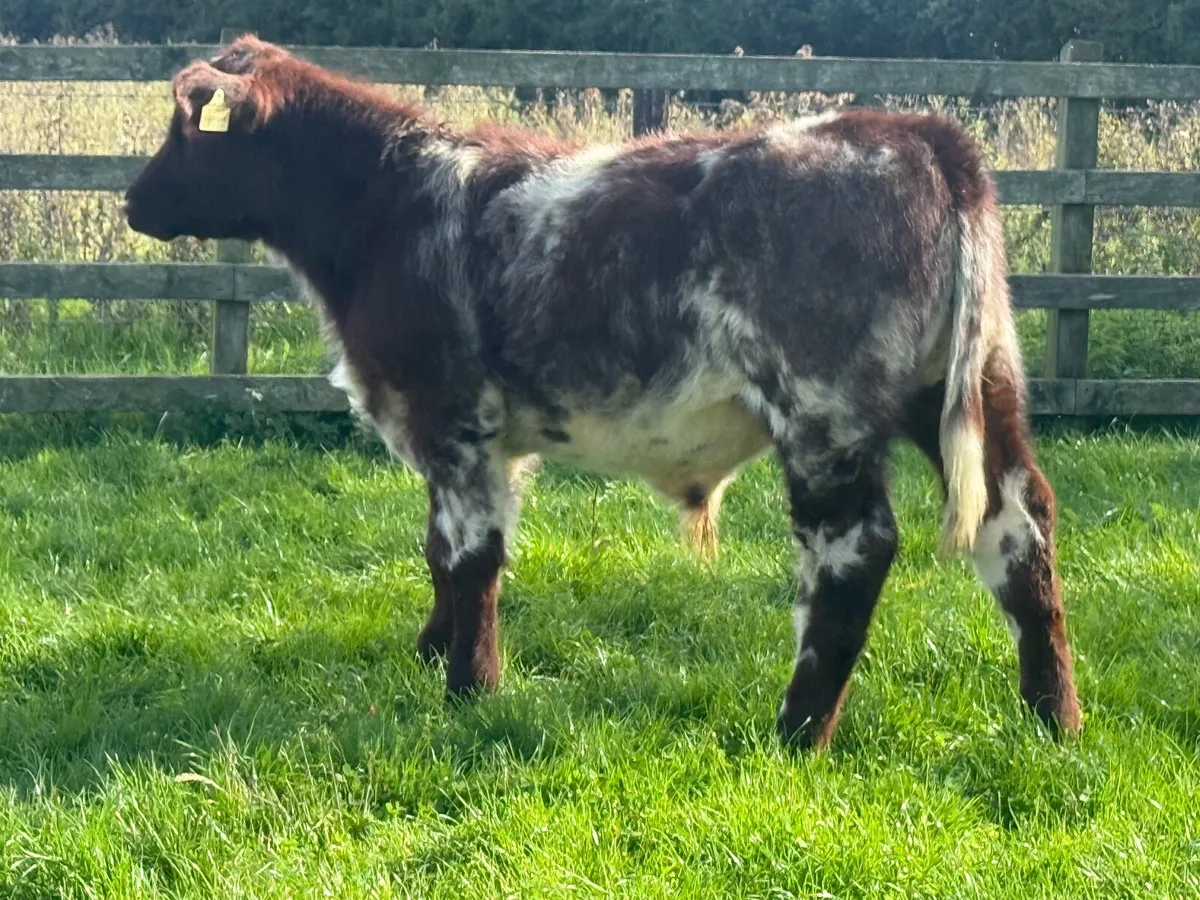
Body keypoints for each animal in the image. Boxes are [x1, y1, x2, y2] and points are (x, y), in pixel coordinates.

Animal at [124, 37, 1081, 749]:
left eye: (187, 128)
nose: (133, 200)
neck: (384, 207)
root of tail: (917, 131)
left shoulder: (453, 416)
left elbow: (469, 557)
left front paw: (469, 691)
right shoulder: (469, 440)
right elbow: (442, 551)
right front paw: (435, 654)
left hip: (825, 412)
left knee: (854, 550)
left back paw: (797, 731)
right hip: (974, 383)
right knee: (1019, 520)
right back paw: (1052, 717)